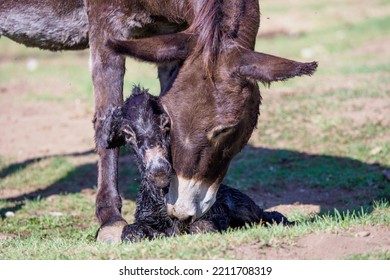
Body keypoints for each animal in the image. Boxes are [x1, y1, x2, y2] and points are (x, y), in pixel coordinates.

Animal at [103, 86, 292, 242]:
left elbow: (200, 228)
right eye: (128, 134)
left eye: (166, 124)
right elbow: (130, 232)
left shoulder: (208, 217)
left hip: (244, 207)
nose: (159, 171)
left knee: (269, 214)